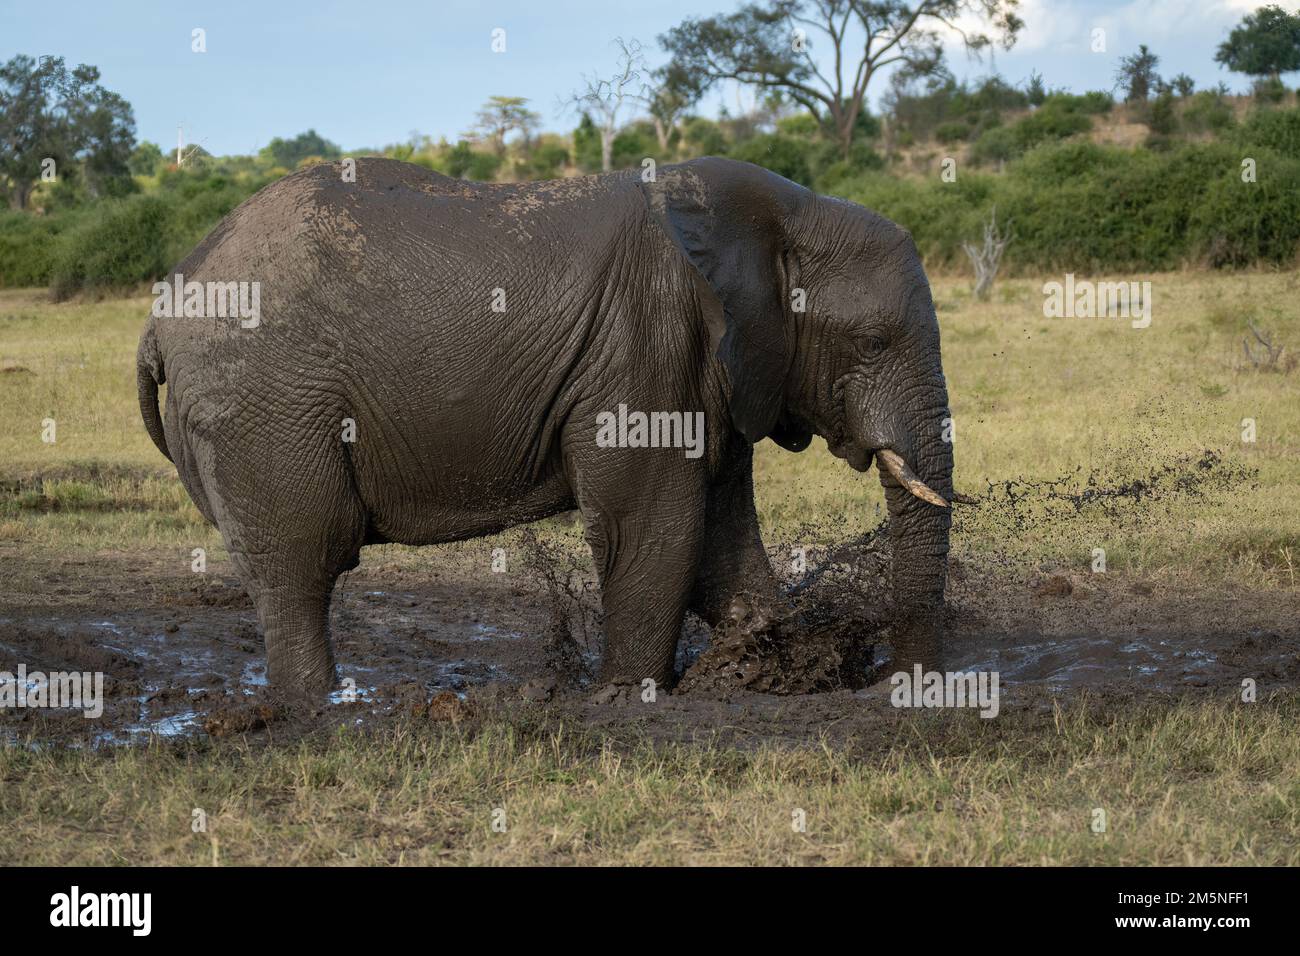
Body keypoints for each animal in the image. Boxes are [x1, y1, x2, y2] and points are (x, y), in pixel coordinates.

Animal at [136, 156, 953, 697]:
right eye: (873, 342)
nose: (891, 680)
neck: (782, 211)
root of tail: (164, 306)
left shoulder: (709, 371)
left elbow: (720, 537)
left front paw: (769, 661)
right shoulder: (646, 346)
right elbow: (652, 527)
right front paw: (628, 697)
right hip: (263, 406)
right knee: (301, 563)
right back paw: (318, 708)